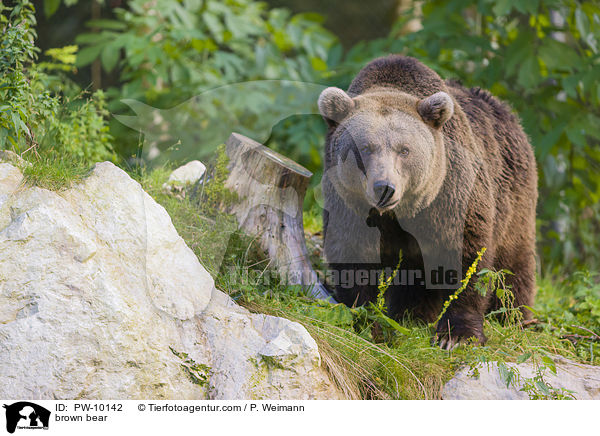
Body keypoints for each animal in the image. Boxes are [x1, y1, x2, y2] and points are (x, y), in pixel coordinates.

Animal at [322, 55, 536, 348]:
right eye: (364, 148)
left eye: (404, 150)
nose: (384, 188)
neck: (400, 213)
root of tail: (507, 112)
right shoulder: (348, 206)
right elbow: (353, 257)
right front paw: (365, 321)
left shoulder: (451, 198)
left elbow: (467, 258)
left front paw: (457, 335)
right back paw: (411, 315)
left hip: (514, 198)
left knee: (513, 265)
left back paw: (513, 316)